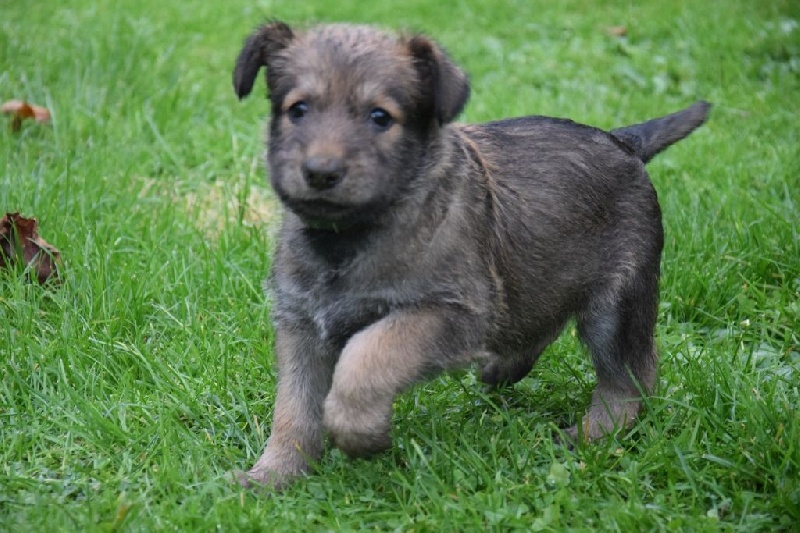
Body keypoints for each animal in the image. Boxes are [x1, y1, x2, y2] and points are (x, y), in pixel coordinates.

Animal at [231, 21, 710, 489]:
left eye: (380, 117)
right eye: (297, 110)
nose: (320, 172)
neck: (347, 240)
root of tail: (625, 141)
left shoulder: (448, 313)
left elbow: (367, 356)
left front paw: (360, 432)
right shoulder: (301, 326)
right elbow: (293, 409)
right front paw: (273, 475)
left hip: (617, 305)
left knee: (629, 379)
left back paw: (589, 437)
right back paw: (505, 369)